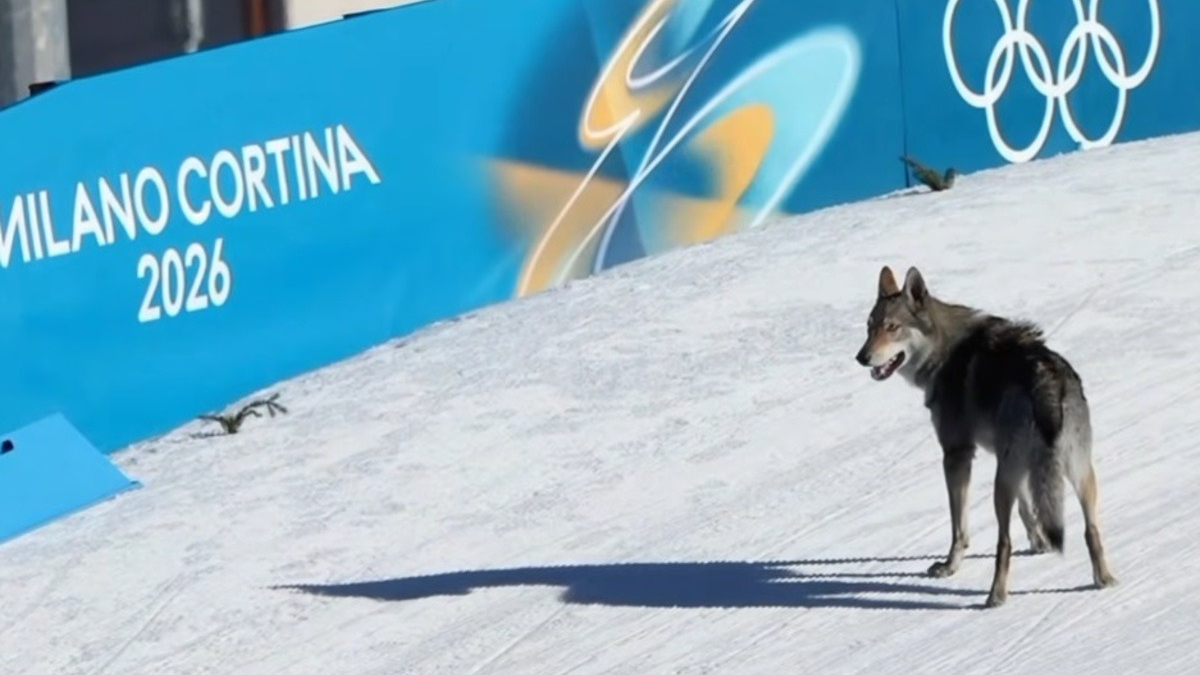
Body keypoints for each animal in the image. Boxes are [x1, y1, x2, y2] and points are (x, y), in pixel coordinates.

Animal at [855, 265, 1117, 608]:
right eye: (869, 327)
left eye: (892, 327)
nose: (861, 357)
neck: (942, 352)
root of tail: (1045, 377)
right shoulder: (1009, 460)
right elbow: (1028, 508)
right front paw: (1040, 544)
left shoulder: (957, 455)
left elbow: (959, 528)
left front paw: (949, 567)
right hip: (1075, 472)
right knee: (1091, 530)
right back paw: (1104, 580)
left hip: (1000, 484)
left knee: (1003, 543)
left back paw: (995, 597)